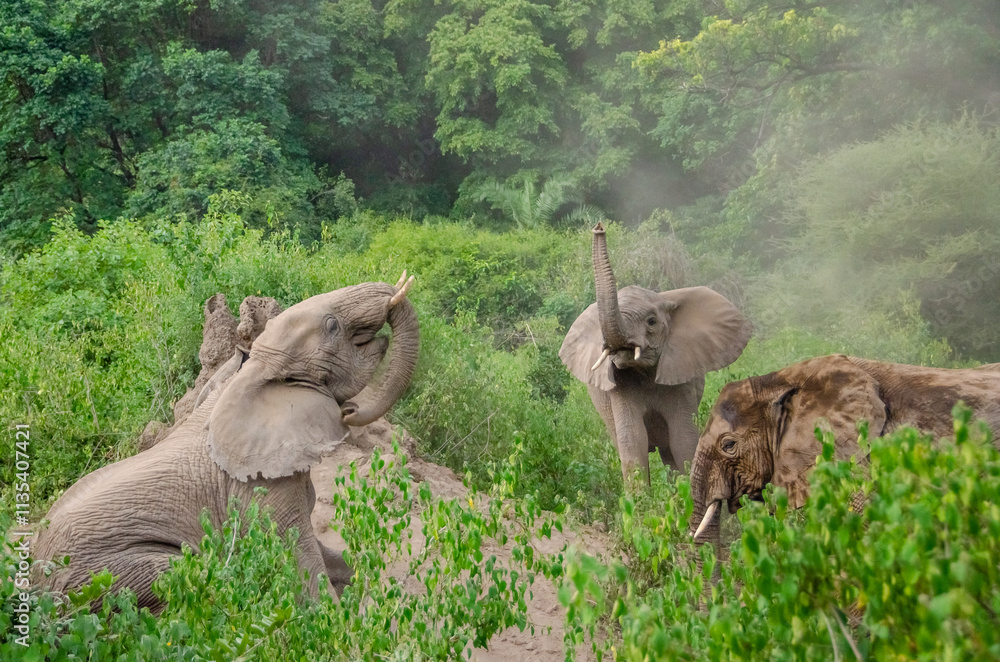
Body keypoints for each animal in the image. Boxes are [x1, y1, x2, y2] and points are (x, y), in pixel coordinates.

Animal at [32, 274, 419, 611]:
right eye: (332, 326)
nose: (351, 411)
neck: (252, 374)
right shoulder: (257, 491)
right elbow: (302, 567)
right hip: (102, 575)